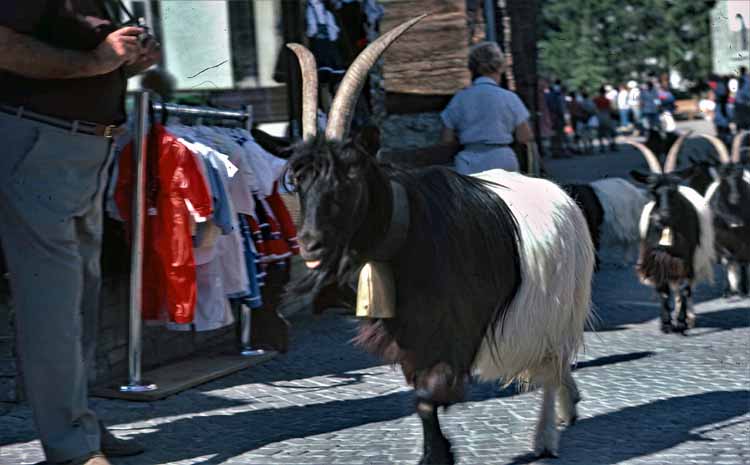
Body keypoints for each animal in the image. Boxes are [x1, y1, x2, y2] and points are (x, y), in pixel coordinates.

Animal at [284, 16, 596, 462]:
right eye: (297, 179)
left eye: (350, 174)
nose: (309, 243)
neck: (407, 236)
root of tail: (561, 195)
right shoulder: (414, 340)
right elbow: (422, 401)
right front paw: (435, 452)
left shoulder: (456, 333)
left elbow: (429, 397)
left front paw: (439, 453)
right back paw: (568, 408)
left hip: (558, 308)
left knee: (553, 367)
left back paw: (546, 436)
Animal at [628, 135, 716, 334]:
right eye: (652, 190)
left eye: (674, 190)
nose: (663, 216)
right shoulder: (657, 258)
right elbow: (663, 290)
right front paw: (666, 323)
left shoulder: (687, 257)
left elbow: (684, 289)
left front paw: (682, 322)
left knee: (686, 288)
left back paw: (689, 317)